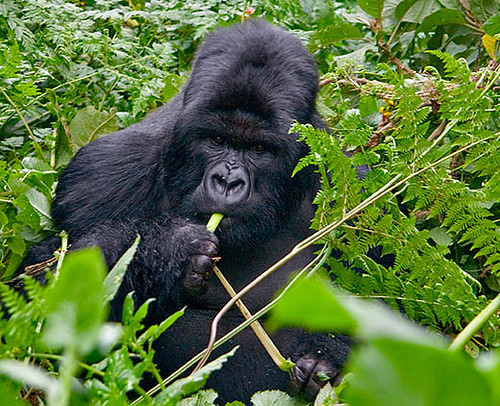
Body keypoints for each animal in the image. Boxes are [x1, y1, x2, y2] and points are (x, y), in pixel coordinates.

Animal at [18, 21, 352, 402]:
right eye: (216, 141)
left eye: (258, 149)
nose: (227, 181)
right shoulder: (98, 177)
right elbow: (40, 292)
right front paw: (169, 250)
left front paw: (324, 356)